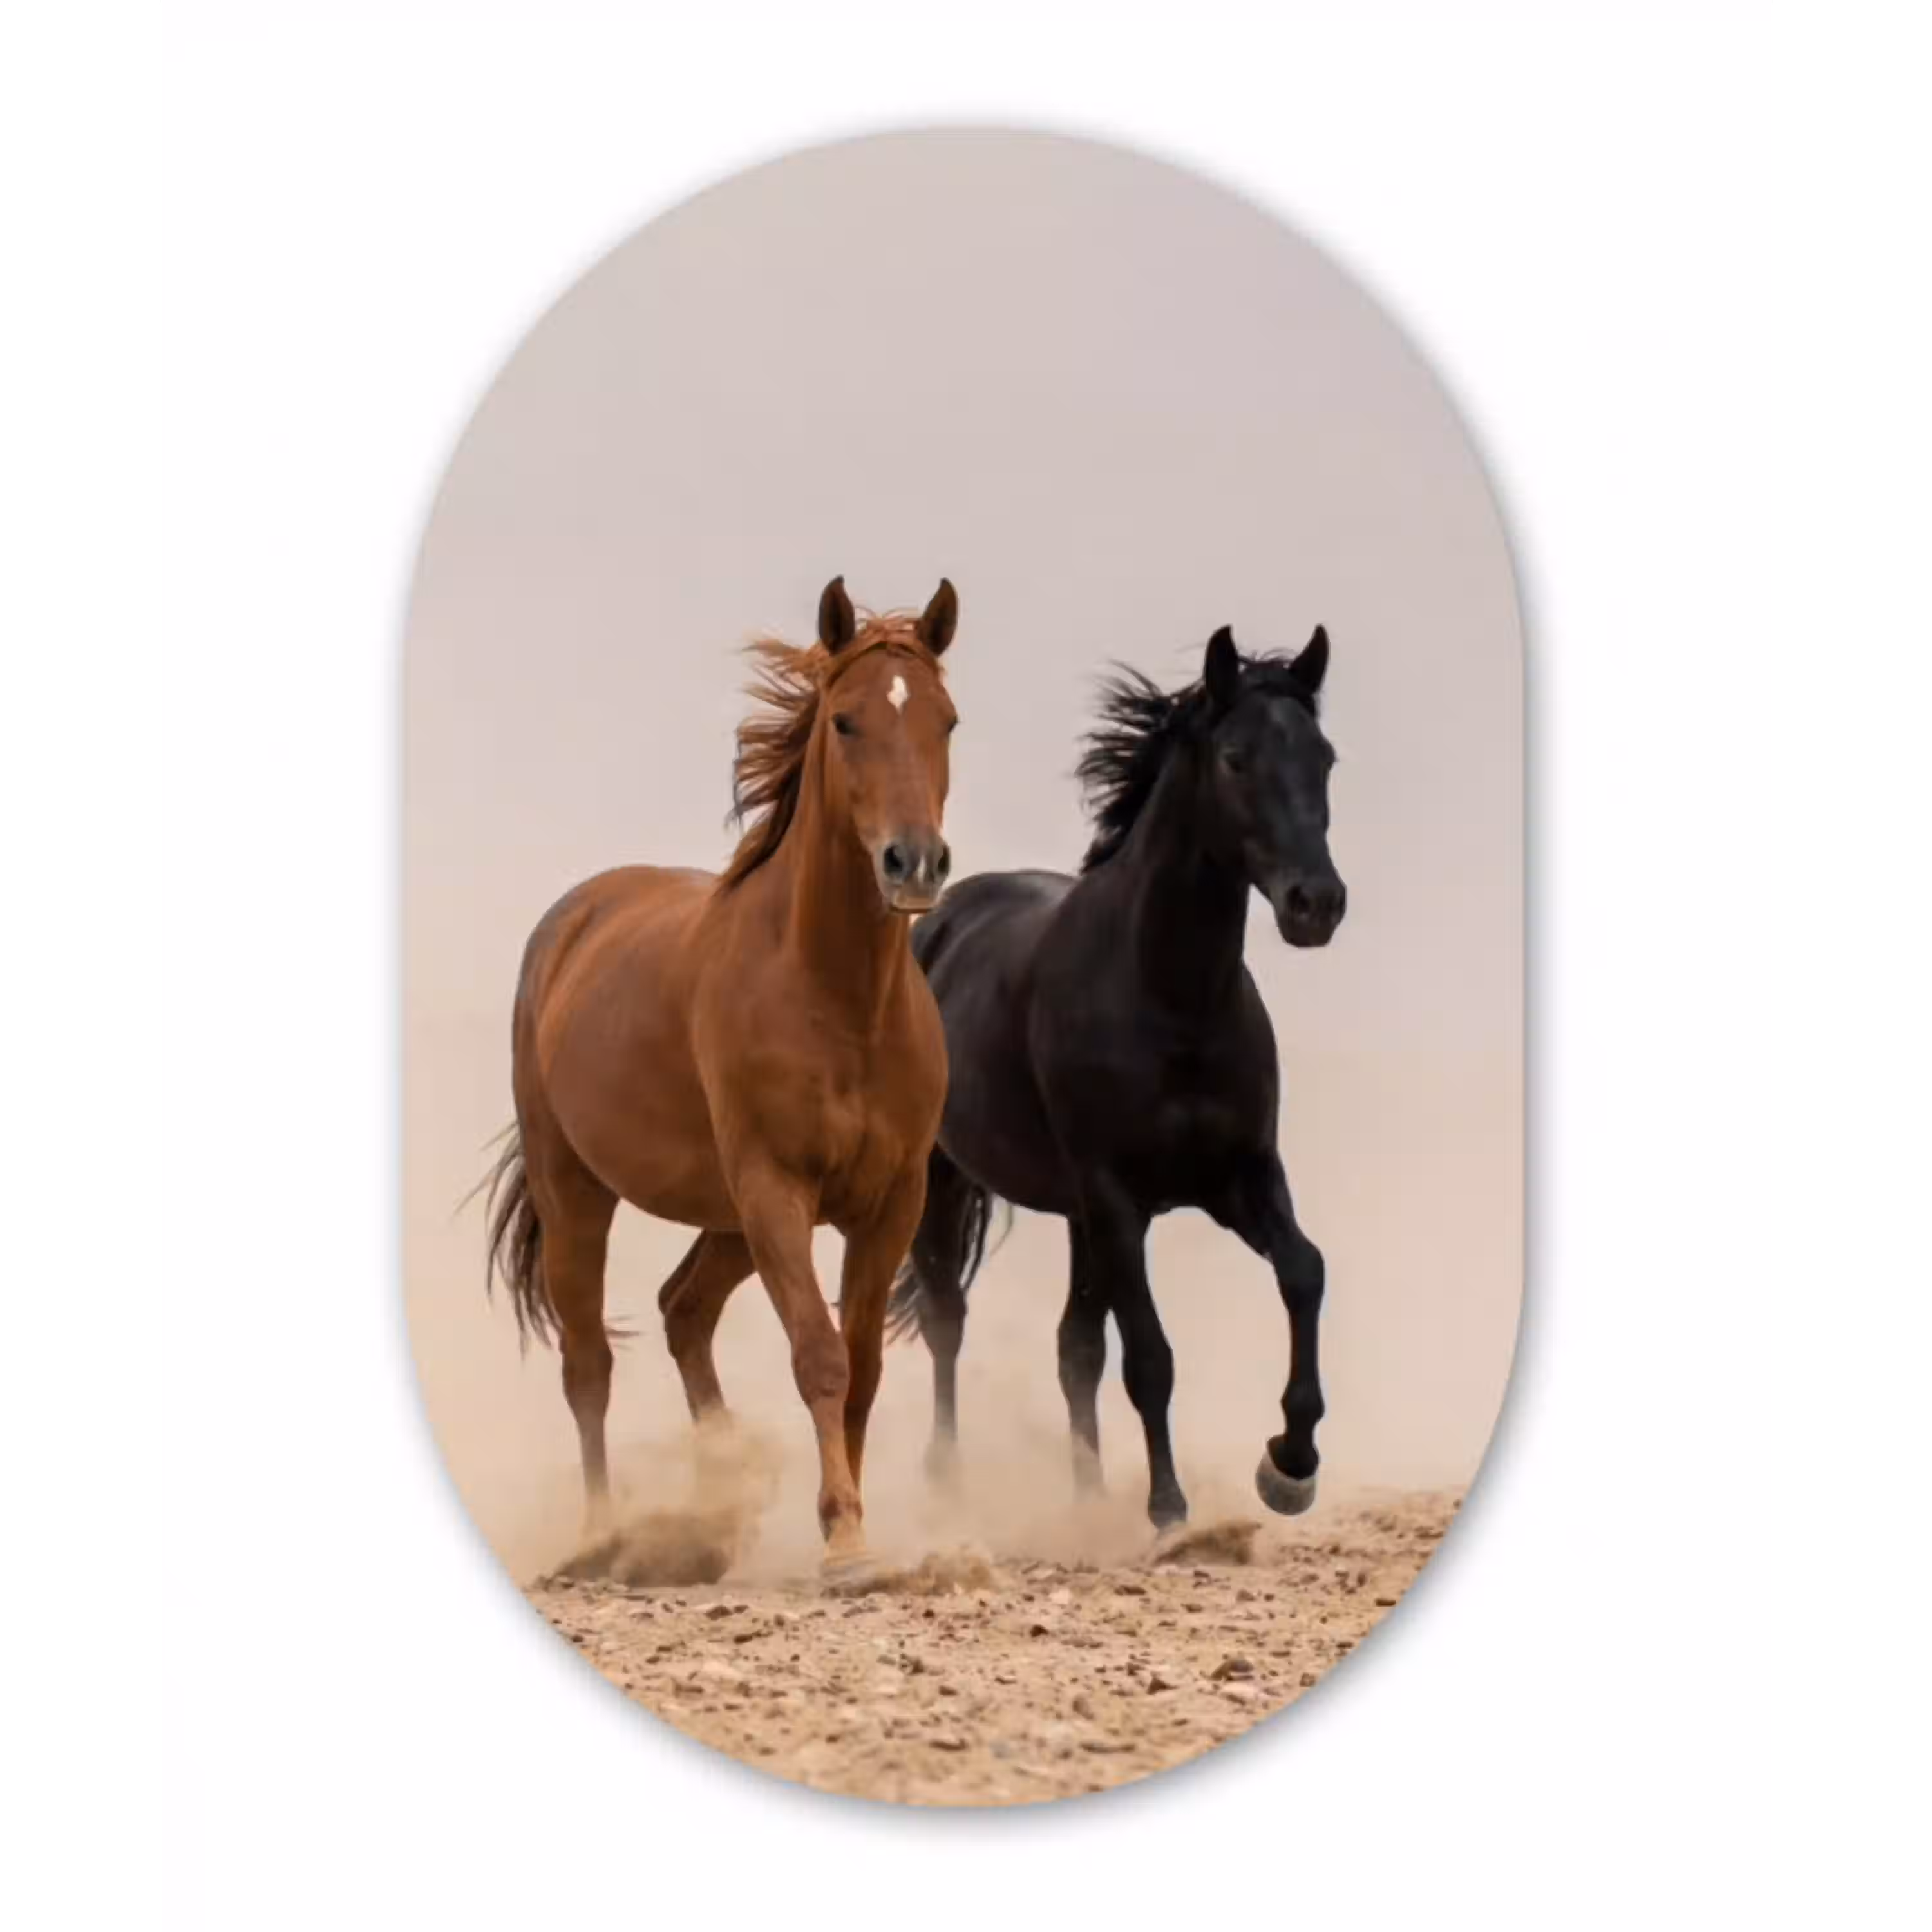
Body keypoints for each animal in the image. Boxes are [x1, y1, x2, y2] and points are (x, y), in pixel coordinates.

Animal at [480, 577, 962, 1572]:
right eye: (847, 721)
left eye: (946, 720)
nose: (915, 863)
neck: (839, 1001)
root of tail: (574, 919)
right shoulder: (776, 1189)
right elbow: (820, 1355)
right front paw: (845, 1541)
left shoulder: (888, 1203)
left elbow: (862, 1366)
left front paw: (852, 1526)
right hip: (578, 1190)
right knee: (589, 1364)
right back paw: (603, 1537)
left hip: (726, 1220)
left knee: (682, 1311)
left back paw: (714, 1507)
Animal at [884, 621, 1345, 1531]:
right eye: (1236, 757)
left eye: (1325, 758)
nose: (1318, 903)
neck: (1171, 1002)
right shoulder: (1118, 1199)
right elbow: (1151, 1356)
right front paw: (1168, 1510)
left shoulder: (1240, 1177)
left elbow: (1304, 1272)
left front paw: (1290, 1465)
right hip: (949, 1181)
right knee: (951, 1317)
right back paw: (949, 1482)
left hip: (1075, 1217)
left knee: (1075, 1347)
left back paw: (1087, 1497)